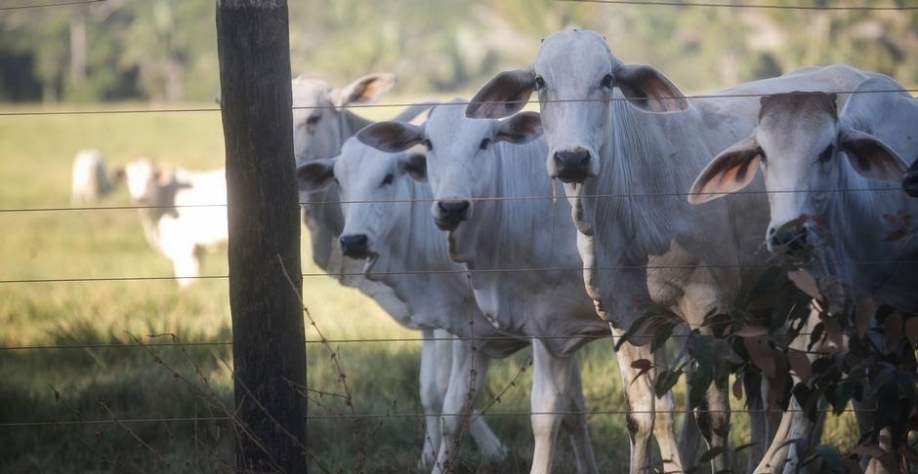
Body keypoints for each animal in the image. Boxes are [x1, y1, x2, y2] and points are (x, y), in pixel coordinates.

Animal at [123, 157, 227, 286]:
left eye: (151, 178)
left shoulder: (183, 247)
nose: (140, 198)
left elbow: (186, 279)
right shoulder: (197, 249)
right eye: (129, 178)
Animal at [292, 74, 504, 466]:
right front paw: (428, 455)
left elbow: (448, 387)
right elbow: (430, 389)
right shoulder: (427, 312)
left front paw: (491, 449)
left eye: (314, 117)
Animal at [358, 101, 676, 474]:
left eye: (485, 142)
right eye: (429, 143)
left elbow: (548, 413)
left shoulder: (551, 325)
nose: (451, 207)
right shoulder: (472, 333)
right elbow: (455, 410)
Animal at [468, 27, 884, 472]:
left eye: (607, 80)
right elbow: (640, 417)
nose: (572, 159)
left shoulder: (708, 314)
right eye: (541, 82)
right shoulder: (625, 320)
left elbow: (713, 419)